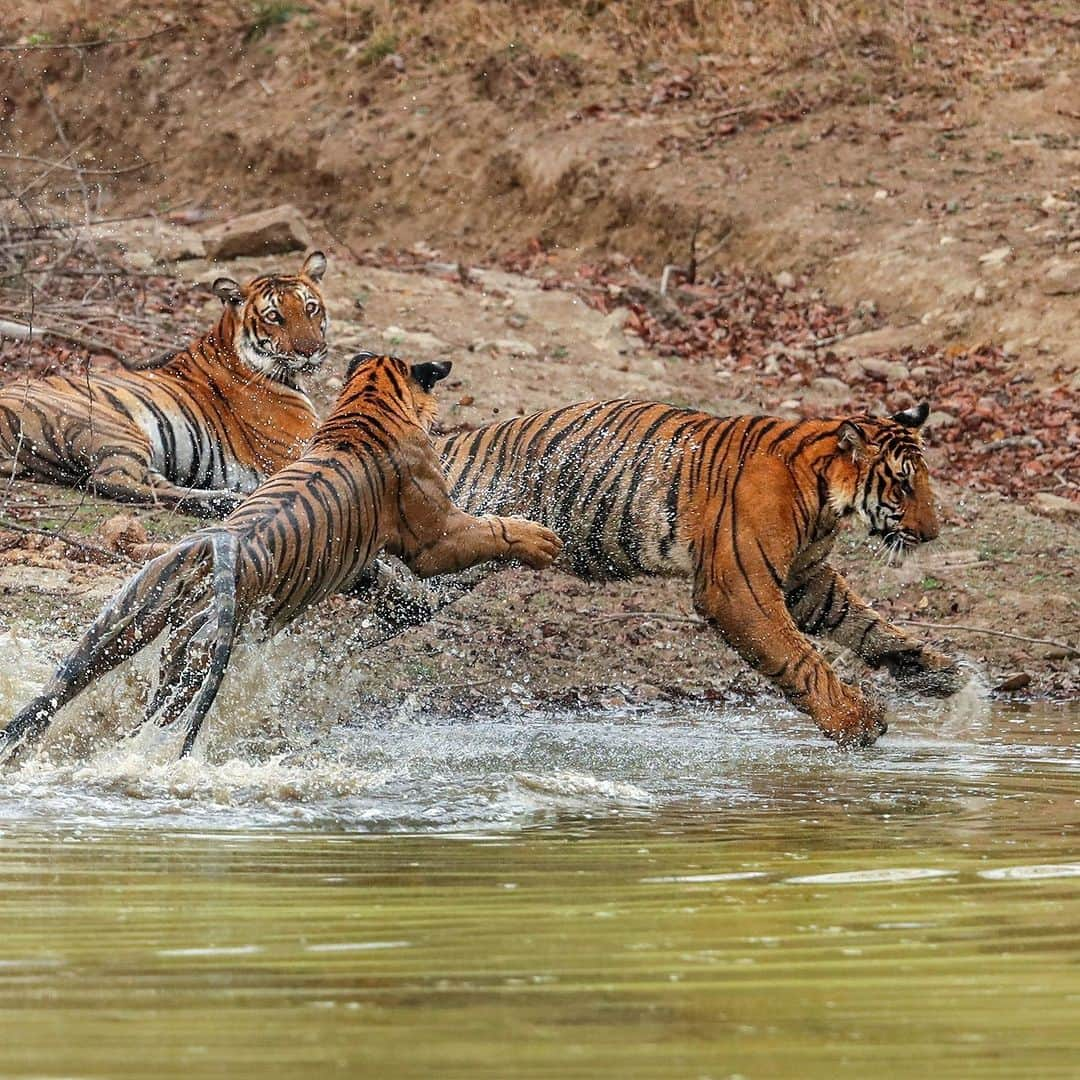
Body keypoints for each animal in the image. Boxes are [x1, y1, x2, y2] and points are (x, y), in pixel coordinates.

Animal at [0, 250, 328, 516]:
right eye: (274, 316)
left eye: (310, 308)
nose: (311, 351)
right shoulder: (300, 446)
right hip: (112, 428)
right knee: (110, 480)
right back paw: (224, 503)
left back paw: (220, 500)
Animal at [352, 401, 963, 747]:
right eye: (904, 483)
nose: (935, 532)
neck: (824, 494)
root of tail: (447, 442)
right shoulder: (738, 586)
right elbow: (799, 658)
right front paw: (856, 721)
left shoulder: (806, 579)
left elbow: (869, 627)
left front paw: (942, 674)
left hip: (431, 584)